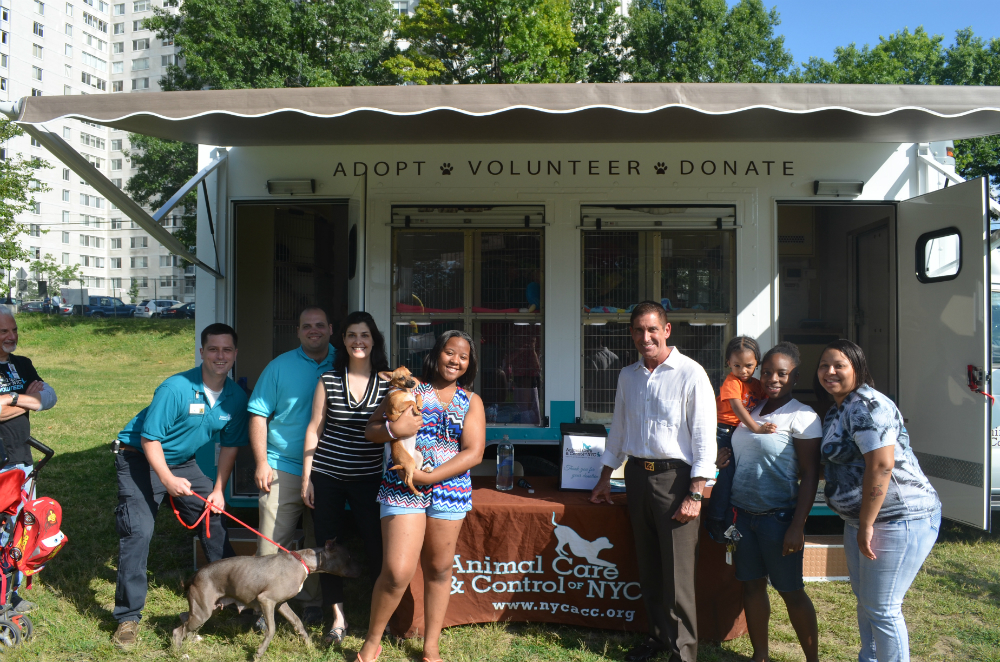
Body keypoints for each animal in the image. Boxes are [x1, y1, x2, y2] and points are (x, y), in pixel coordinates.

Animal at [174, 544, 362, 660]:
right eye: (349, 557)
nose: (360, 570)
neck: (302, 561)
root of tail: (195, 575)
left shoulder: (281, 604)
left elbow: (298, 623)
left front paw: (309, 646)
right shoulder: (266, 601)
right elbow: (271, 629)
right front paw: (259, 653)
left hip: (209, 609)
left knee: (183, 618)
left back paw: (189, 639)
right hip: (203, 612)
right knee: (178, 630)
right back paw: (177, 651)